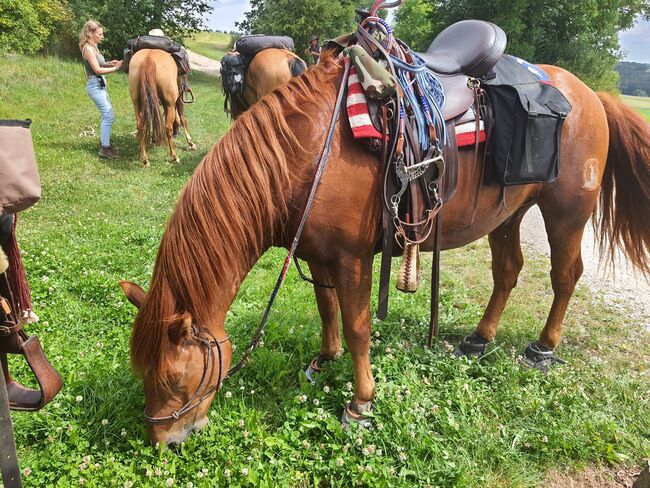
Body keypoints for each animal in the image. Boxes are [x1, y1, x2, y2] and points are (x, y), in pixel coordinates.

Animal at [124, 33, 195, 166]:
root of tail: (148, 59)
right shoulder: (177, 99)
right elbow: (183, 119)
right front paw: (191, 143)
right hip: (169, 104)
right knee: (168, 128)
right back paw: (174, 156)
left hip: (137, 103)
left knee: (141, 126)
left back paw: (144, 158)